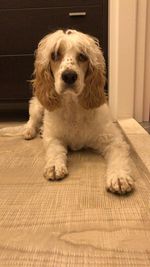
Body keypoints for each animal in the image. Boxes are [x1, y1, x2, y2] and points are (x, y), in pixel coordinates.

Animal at [0, 29, 134, 195]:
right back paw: (30, 131)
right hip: (38, 105)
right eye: (55, 55)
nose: (69, 76)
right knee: (32, 120)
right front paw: (54, 165)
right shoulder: (54, 138)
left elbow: (118, 158)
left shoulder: (113, 140)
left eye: (82, 55)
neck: (73, 107)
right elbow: (55, 150)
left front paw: (119, 177)